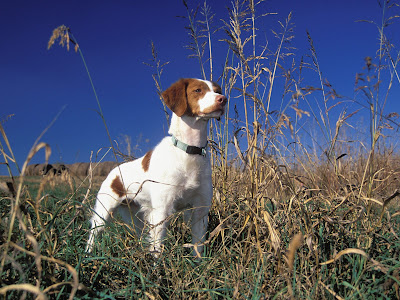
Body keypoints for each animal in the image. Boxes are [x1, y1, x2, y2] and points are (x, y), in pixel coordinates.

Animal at [85, 78, 227, 256]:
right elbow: (157, 248)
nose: (223, 99)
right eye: (197, 90)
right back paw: (88, 254)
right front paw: (157, 263)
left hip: (136, 216)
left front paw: (198, 261)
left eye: (217, 90)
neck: (188, 151)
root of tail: (113, 172)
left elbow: (198, 246)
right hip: (104, 211)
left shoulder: (200, 209)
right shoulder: (161, 210)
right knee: (93, 233)